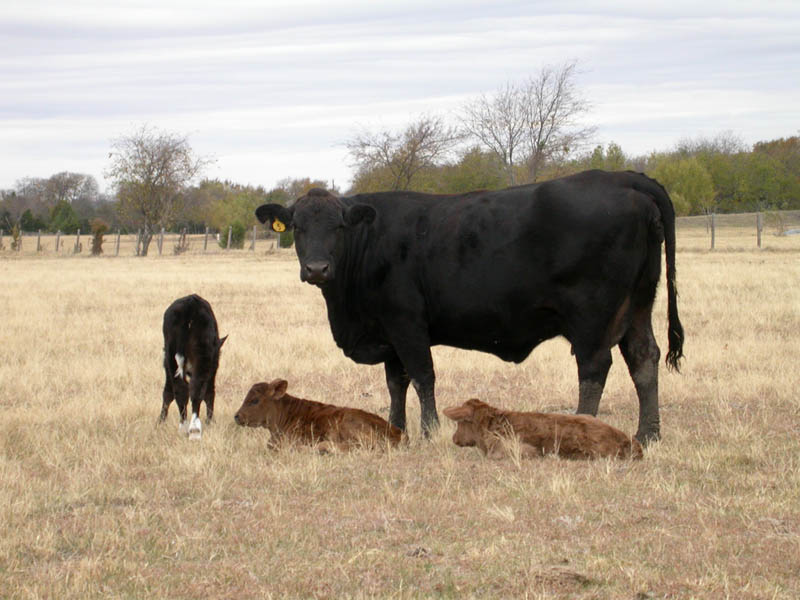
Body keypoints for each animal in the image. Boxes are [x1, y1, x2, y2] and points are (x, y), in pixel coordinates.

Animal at [160, 294, 227, 439]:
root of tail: (190, 305)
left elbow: (168, 392)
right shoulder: (212, 367)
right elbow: (209, 392)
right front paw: (210, 422)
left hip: (172, 355)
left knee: (181, 389)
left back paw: (185, 427)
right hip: (202, 357)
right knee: (196, 390)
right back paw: (194, 429)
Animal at [255, 170, 684, 444]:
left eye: (339, 226)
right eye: (297, 227)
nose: (317, 268)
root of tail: (621, 177)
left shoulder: (407, 323)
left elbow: (422, 377)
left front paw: (429, 433)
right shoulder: (389, 333)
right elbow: (396, 383)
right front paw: (397, 430)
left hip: (593, 315)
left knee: (594, 368)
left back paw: (584, 427)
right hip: (638, 306)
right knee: (644, 359)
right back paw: (649, 434)